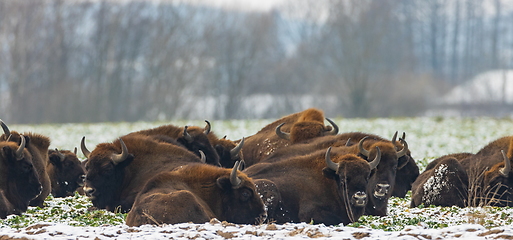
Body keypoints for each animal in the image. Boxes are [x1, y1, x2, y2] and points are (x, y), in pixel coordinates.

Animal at [242, 146, 378, 225]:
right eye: (343, 179)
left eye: (367, 178)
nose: (360, 198)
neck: (331, 181)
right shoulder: (310, 213)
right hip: (270, 187)